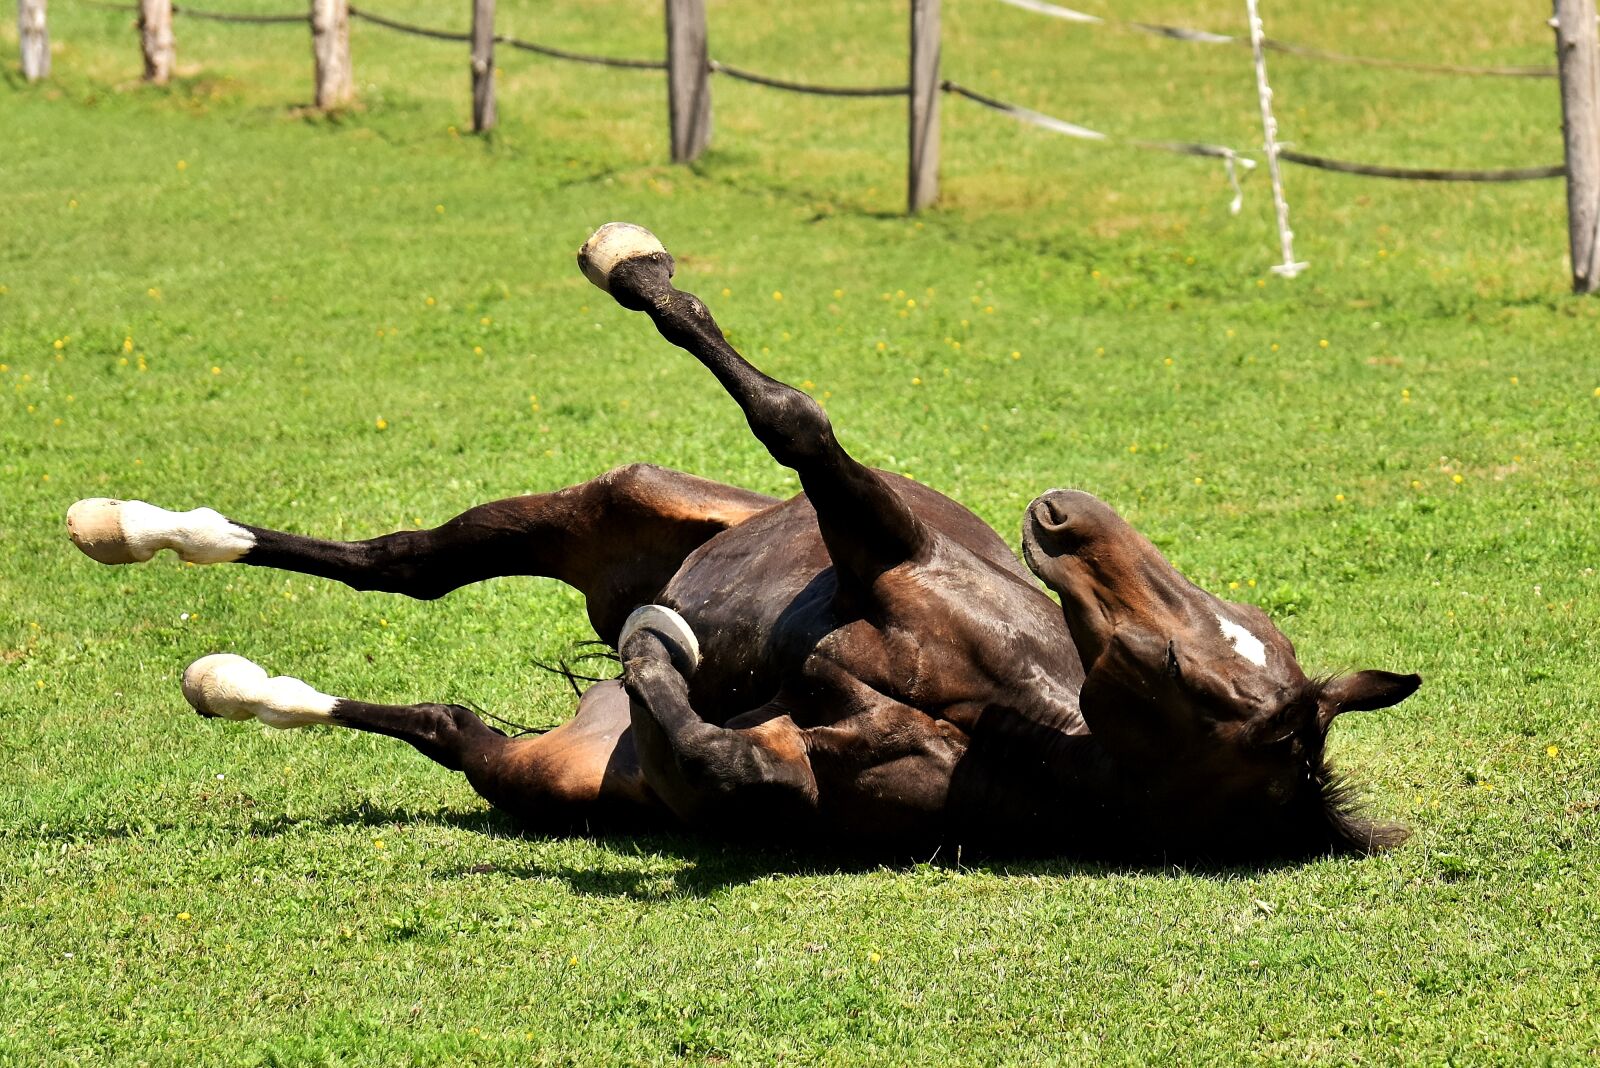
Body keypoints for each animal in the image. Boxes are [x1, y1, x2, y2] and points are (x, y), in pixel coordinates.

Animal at [66, 223, 1420, 860]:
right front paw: (638, 267)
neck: (1003, 711)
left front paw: (673, 660)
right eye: (1228, 625)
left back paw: (226, 675)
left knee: (443, 706)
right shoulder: (879, 539)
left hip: (543, 772)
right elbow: (798, 418)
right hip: (616, 500)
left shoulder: (804, 781)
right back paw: (131, 527)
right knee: (407, 563)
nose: (1064, 514)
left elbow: (735, 764)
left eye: (1173, 671)